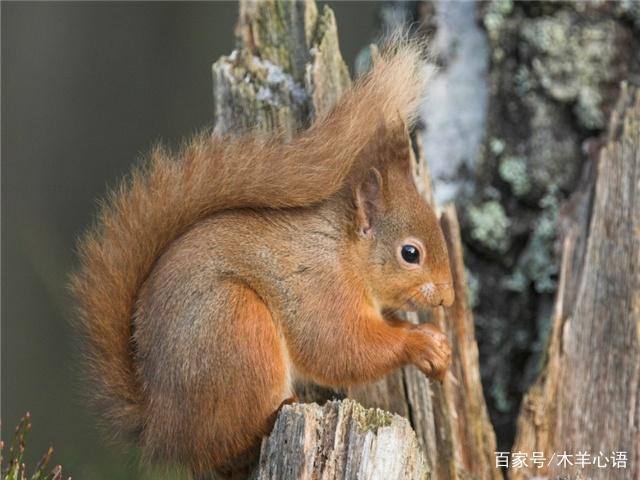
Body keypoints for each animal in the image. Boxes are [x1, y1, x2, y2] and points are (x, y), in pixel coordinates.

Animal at [70, 39, 452, 478]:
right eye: (410, 253)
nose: (447, 298)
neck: (343, 251)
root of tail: (160, 428)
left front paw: (436, 343)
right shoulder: (320, 288)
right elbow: (341, 348)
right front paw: (419, 342)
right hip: (237, 327)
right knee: (227, 444)